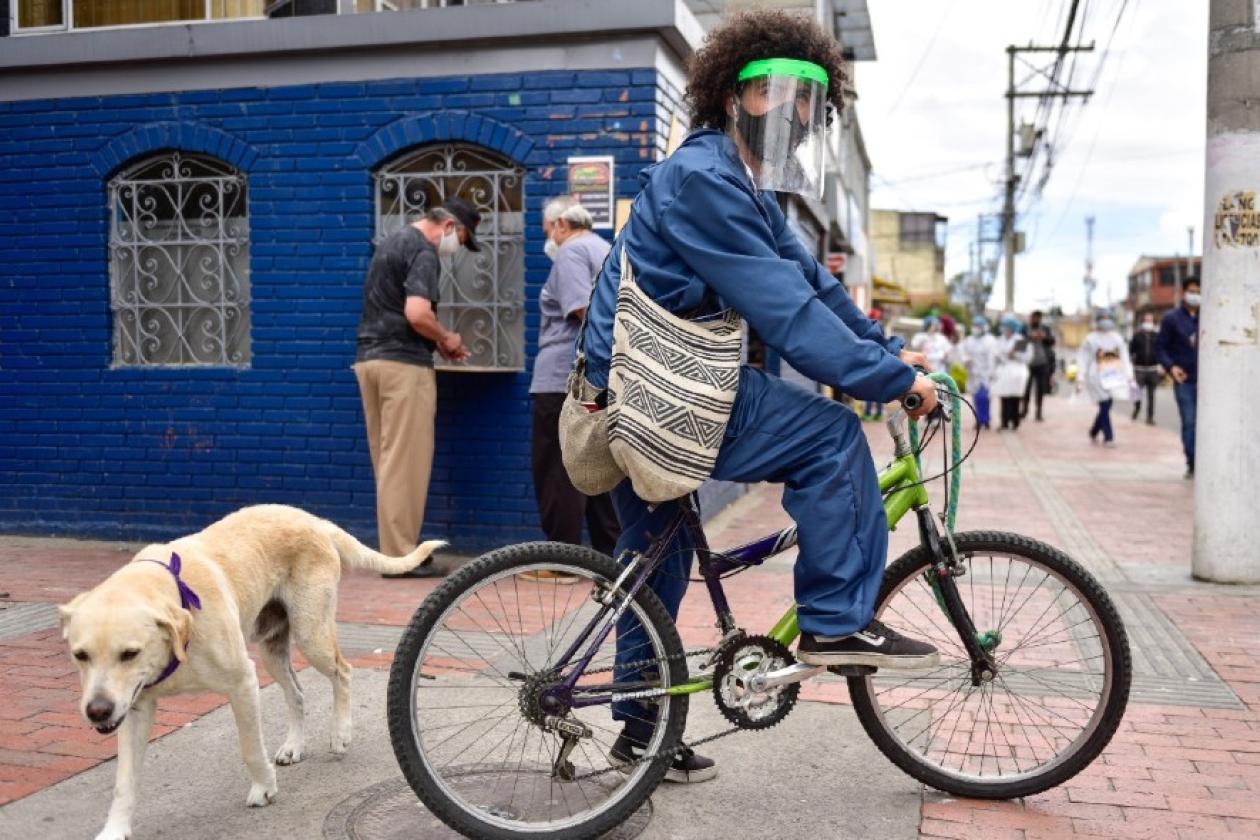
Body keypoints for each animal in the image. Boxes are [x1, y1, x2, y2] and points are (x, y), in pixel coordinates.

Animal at [57, 506, 443, 840]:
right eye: (80, 655)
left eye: (129, 653)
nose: (97, 712)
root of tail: (310, 518)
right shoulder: (134, 708)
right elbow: (124, 782)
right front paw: (114, 829)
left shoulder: (242, 682)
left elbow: (250, 748)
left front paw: (264, 788)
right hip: (272, 649)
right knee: (297, 692)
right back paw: (294, 746)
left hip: (311, 634)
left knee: (343, 672)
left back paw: (340, 734)